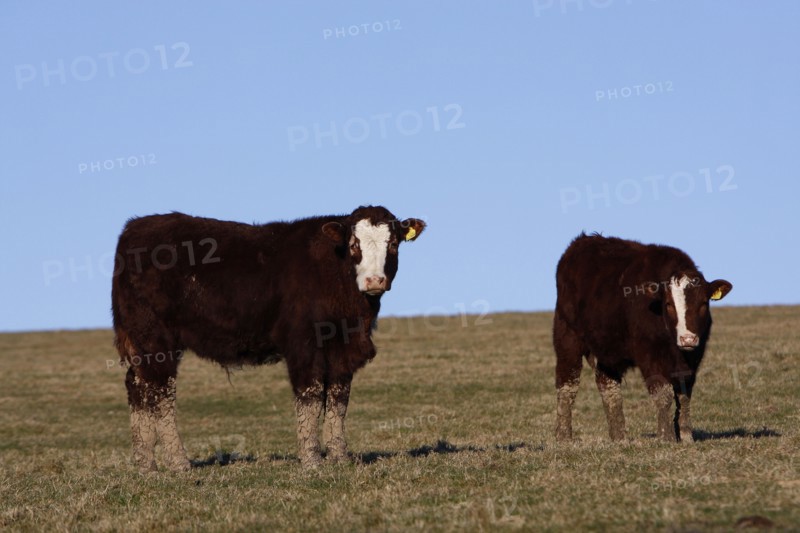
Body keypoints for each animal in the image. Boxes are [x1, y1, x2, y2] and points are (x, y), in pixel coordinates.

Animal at [111, 206, 425, 471]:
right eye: (354, 245)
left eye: (393, 244)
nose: (374, 280)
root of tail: (133, 228)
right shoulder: (303, 345)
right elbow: (310, 397)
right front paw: (311, 461)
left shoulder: (342, 350)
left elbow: (338, 400)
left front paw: (340, 457)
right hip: (156, 338)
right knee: (160, 392)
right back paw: (178, 464)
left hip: (143, 344)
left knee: (137, 387)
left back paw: (146, 465)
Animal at [553, 233, 732, 443]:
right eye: (669, 304)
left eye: (704, 303)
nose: (687, 339)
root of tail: (581, 242)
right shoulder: (649, 355)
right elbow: (663, 393)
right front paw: (666, 437)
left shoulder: (694, 357)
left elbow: (684, 394)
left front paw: (686, 436)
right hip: (567, 337)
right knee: (567, 383)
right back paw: (564, 437)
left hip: (609, 348)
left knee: (607, 384)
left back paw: (619, 437)